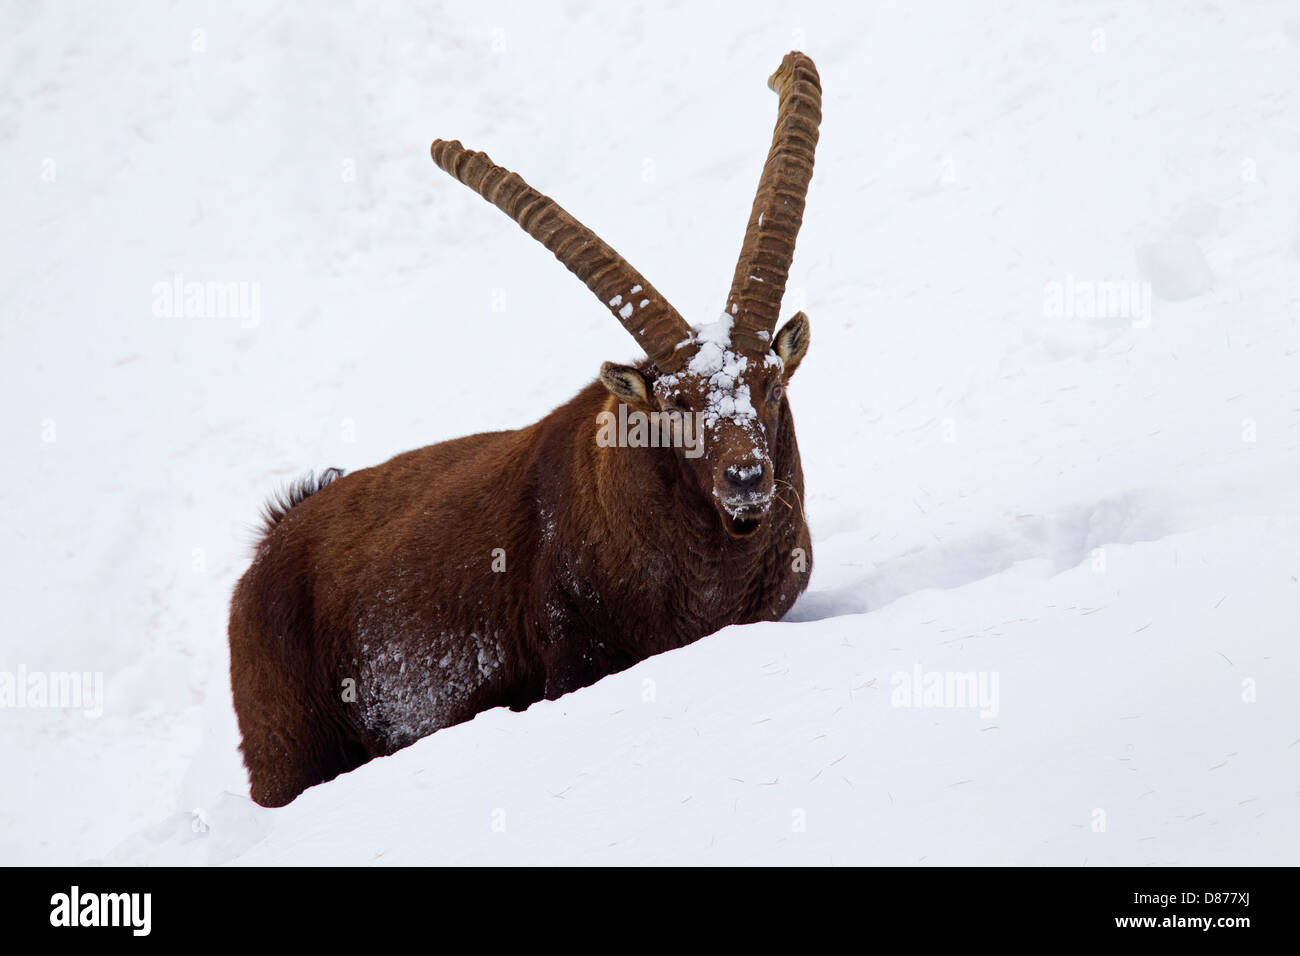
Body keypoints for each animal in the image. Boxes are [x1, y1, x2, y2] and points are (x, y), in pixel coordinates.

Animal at [229, 52, 822, 807]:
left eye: (772, 383)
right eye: (675, 404)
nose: (746, 481)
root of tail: (267, 548)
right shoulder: (572, 658)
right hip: (288, 755)